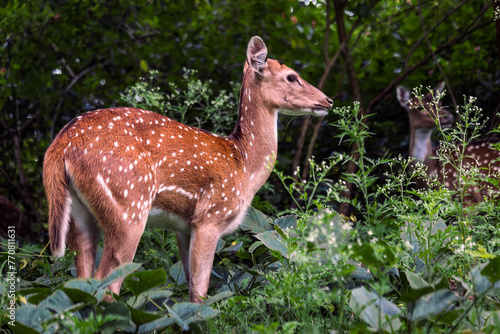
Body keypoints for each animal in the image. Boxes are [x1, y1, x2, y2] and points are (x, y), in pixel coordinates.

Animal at [44, 36, 332, 302]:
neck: (244, 165)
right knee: (106, 284)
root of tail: (61, 145)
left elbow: (191, 286)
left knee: (80, 284)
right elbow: (200, 293)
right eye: (292, 76)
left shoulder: (183, 227)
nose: (327, 100)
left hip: (79, 215)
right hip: (128, 204)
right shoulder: (210, 216)